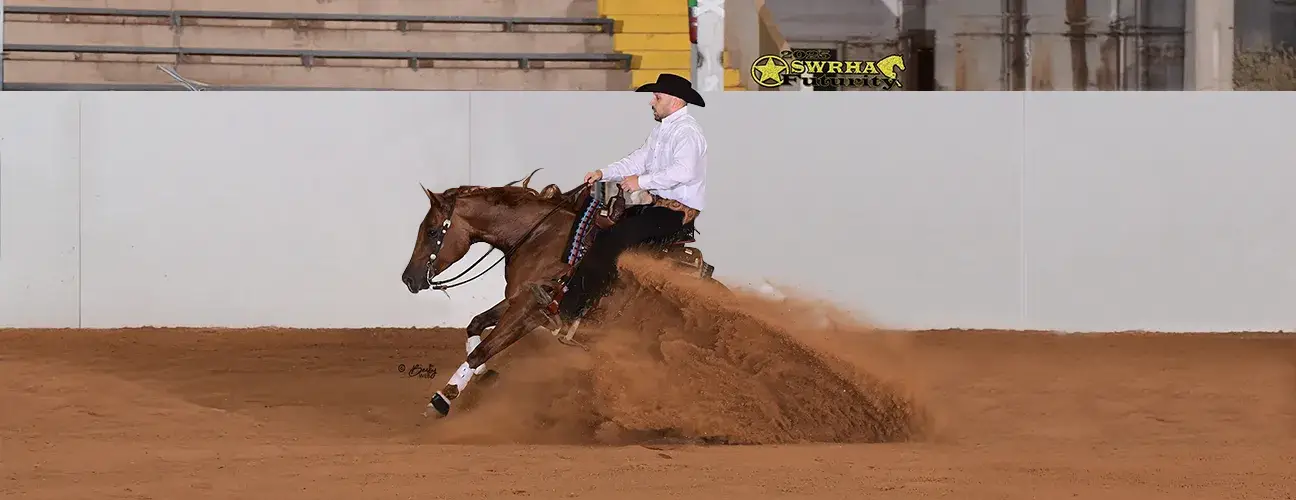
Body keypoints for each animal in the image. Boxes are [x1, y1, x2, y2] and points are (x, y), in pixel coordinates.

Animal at [399, 169, 719, 417]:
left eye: (431, 231)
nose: (408, 279)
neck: (538, 237)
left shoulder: (528, 311)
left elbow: (482, 350)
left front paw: (442, 398)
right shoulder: (520, 300)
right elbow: (475, 324)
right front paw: (484, 375)